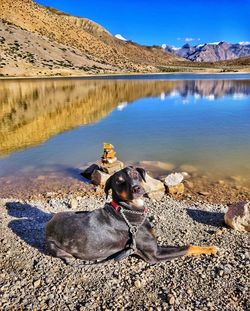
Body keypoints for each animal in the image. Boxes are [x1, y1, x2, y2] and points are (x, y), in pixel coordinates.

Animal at [46, 167, 218, 264]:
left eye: (135, 174)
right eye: (119, 181)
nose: (137, 188)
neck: (128, 211)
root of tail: (48, 225)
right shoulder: (155, 254)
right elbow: (188, 247)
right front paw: (210, 248)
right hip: (57, 248)